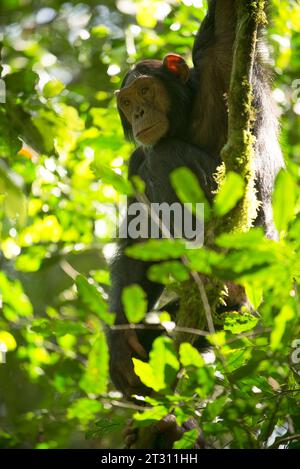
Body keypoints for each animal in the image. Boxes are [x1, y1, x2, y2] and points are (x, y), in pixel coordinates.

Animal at [107, 0, 284, 398]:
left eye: (145, 90)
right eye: (127, 101)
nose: (138, 112)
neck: (183, 115)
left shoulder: (219, 56)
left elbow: (229, 20)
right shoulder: (134, 162)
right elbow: (139, 238)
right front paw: (120, 345)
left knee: (166, 156)